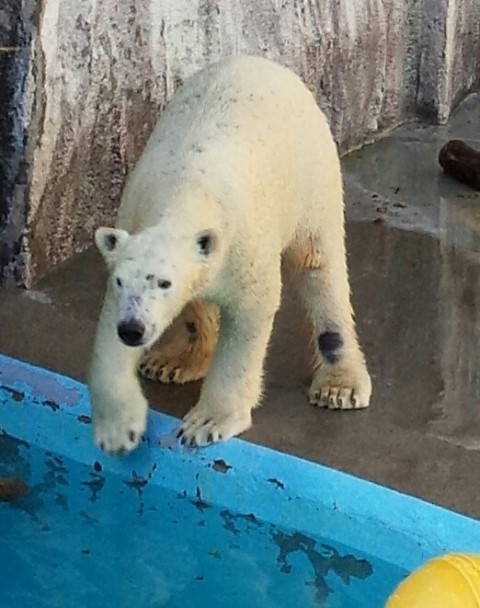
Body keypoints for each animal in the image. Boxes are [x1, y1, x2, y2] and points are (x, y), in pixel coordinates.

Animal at [88, 54, 372, 456]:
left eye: (165, 282)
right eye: (120, 280)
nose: (133, 330)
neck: (184, 192)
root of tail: (265, 63)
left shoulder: (244, 247)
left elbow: (249, 317)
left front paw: (207, 423)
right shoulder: (132, 229)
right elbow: (108, 339)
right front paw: (117, 430)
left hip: (312, 178)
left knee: (319, 267)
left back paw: (340, 384)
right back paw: (173, 361)